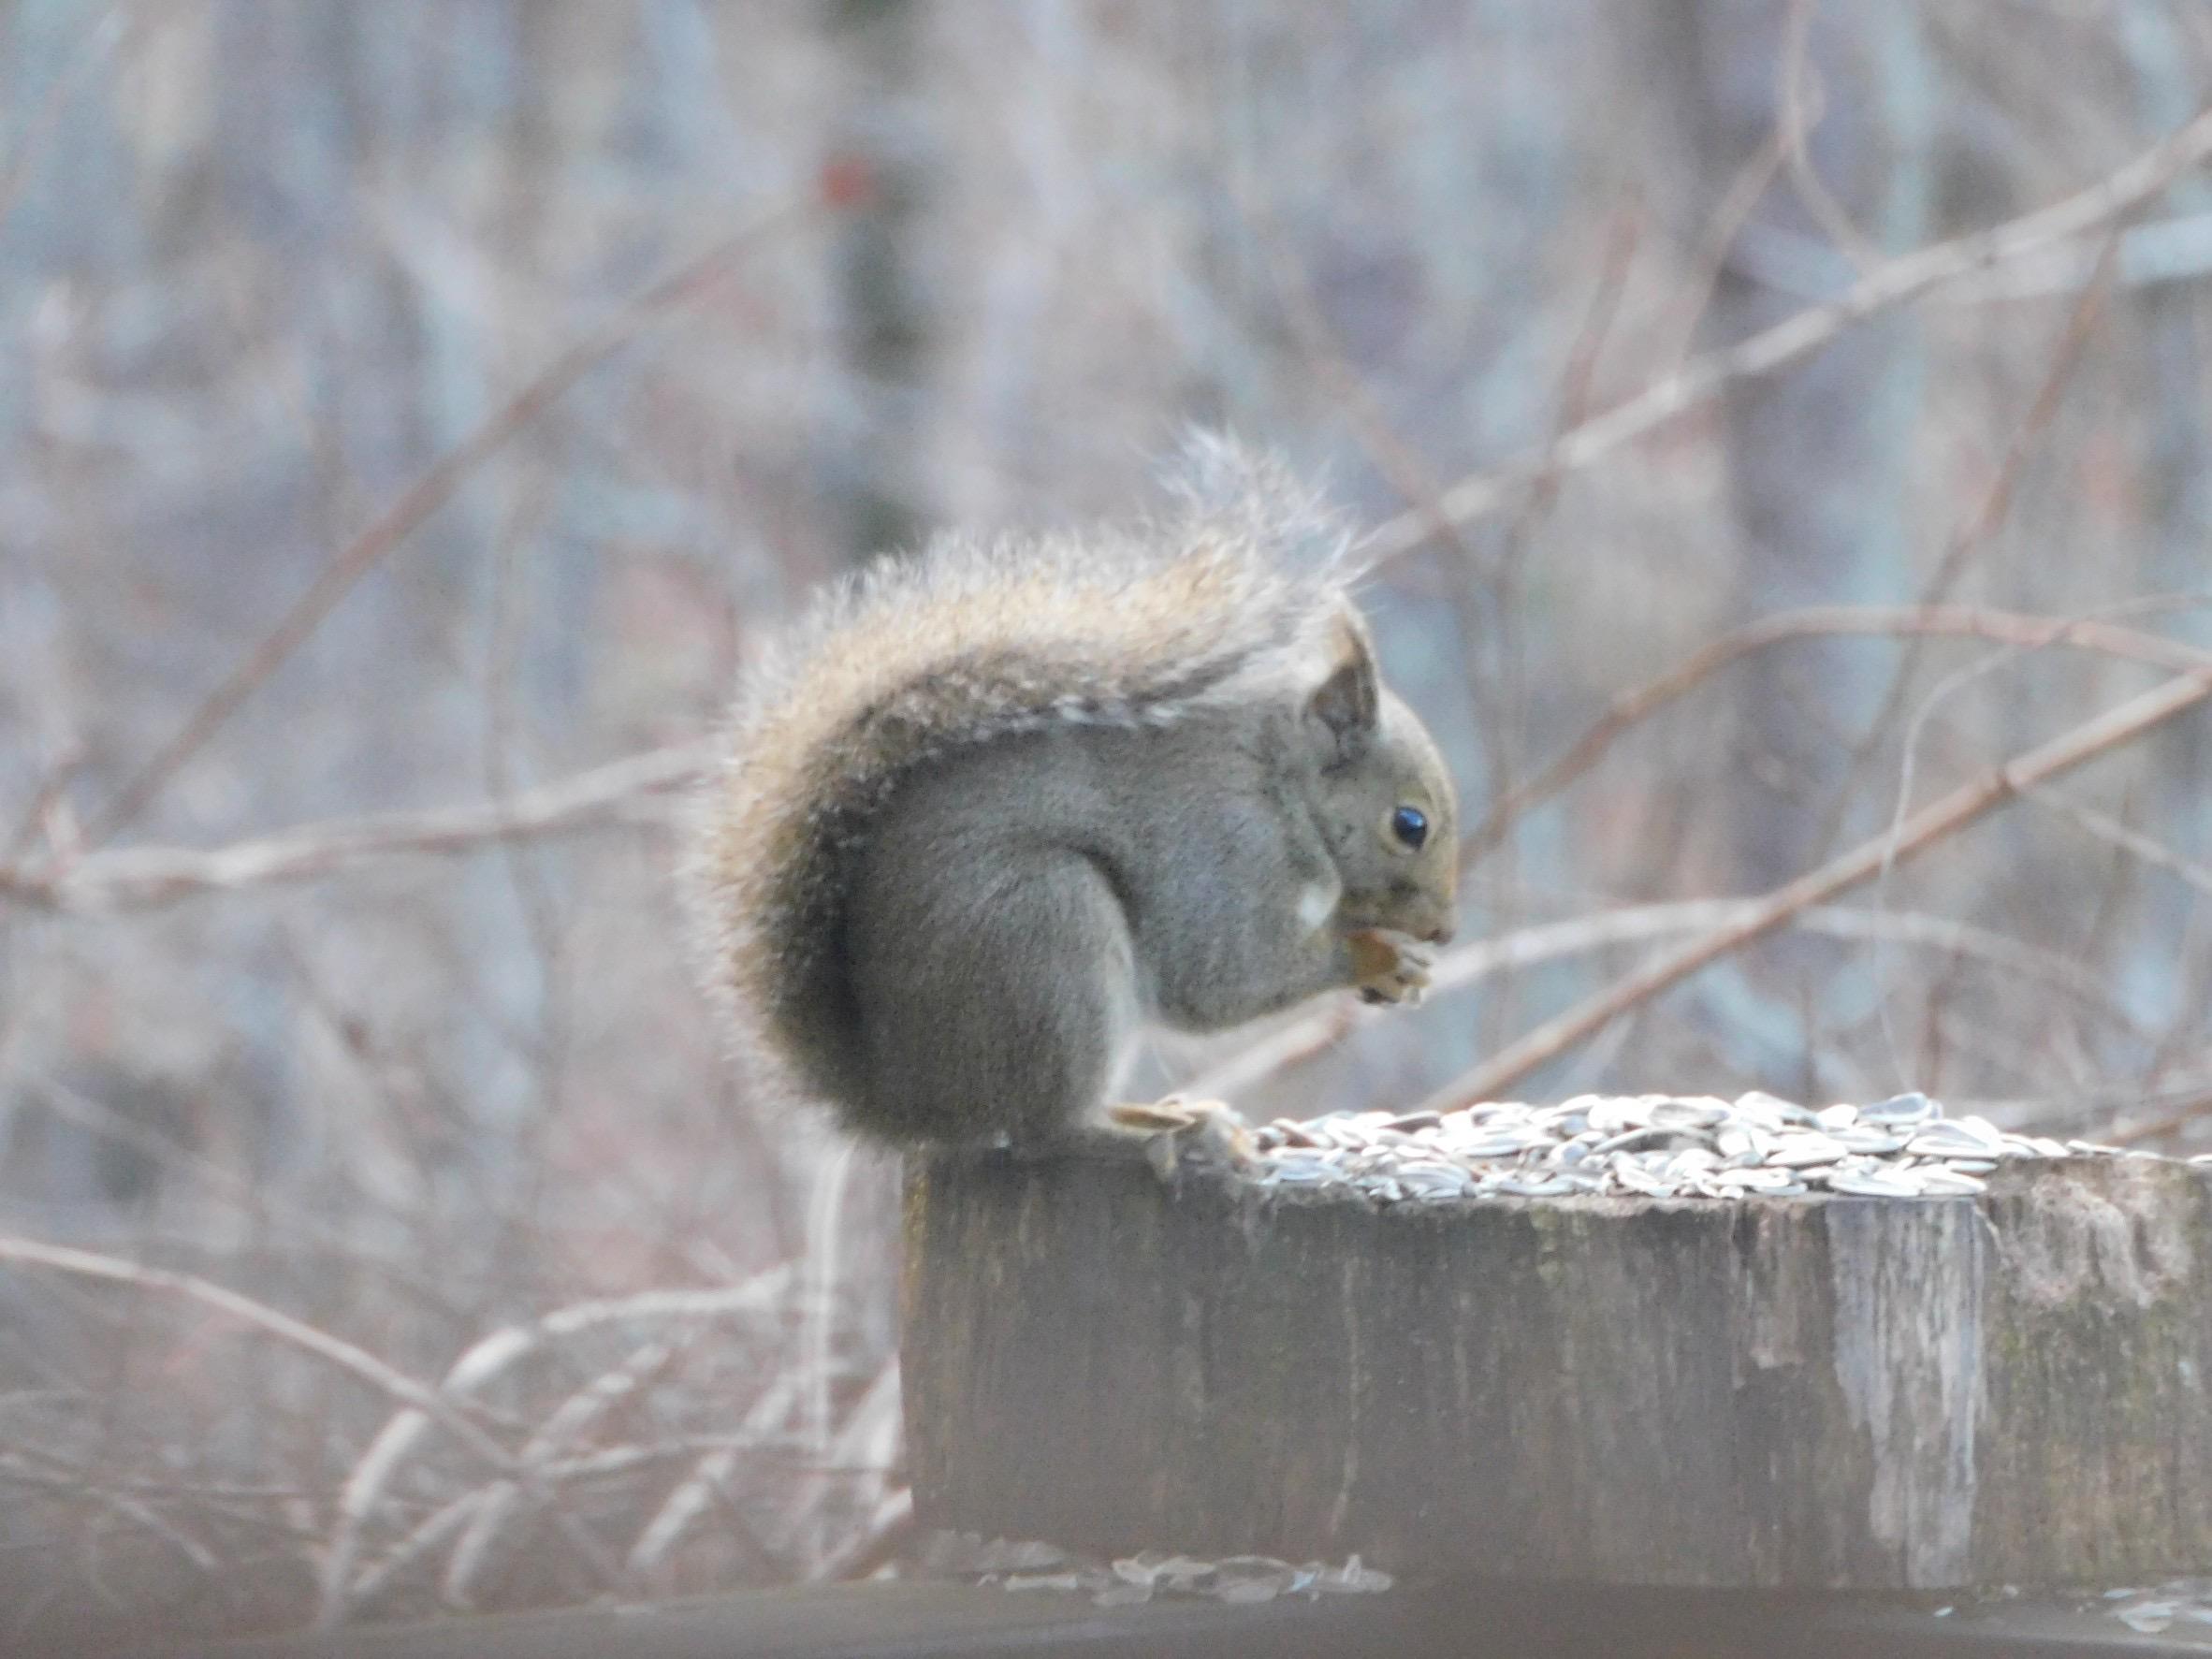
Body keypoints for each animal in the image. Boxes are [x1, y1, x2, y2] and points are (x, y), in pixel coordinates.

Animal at [685, 435, 1450, 1150]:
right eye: (1409, 824)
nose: (1444, 931)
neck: (1281, 784)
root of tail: (914, 1103)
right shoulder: (1226, 851)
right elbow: (1221, 976)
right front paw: (1373, 956)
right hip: (1048, 934)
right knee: (1051, 1123)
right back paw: (1150, 1123)